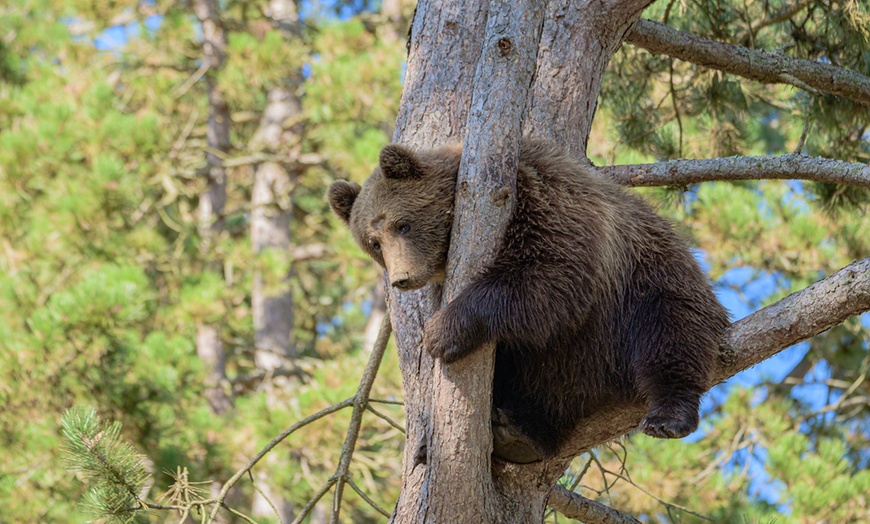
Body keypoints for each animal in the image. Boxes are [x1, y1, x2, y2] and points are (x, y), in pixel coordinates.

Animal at [330, 138, 732, 462]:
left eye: (403, 224)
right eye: (373, 242)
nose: (402, 279)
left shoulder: (547, 202)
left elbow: (550, 276)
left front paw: (442, 331)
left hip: (649, 284)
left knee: (672, 331)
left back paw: (668, 416)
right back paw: (515, 431)